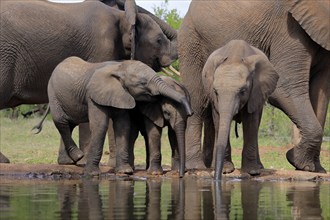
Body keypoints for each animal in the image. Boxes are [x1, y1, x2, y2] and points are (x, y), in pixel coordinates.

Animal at [0, 0, 178, 163]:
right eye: (159, 40)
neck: (122, 16)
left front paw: (69, 162)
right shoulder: (102, 47)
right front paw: (87, 161)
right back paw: (5, 161)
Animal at [45, 57, 192, 175]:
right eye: (142, 83)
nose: (191, 112)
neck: (119, 67)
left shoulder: (122, 95)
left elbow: (123, 125)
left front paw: (124, 172)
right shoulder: (93, 95)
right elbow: (100, 125)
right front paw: (92, 174)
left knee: (70, 124)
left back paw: (70, 161)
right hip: (53, 93)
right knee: (61, 122)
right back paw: (78, 156)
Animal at [201, 40, 278, 180]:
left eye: (243, 91)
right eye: (215, 91)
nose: (216, 177)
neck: (234, 57)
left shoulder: (255, 92)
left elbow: (250, 123)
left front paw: (252, 172)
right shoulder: (215, 100)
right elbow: (219, 120)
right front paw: (226, 170)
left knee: (256, 126)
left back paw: (259, 167)